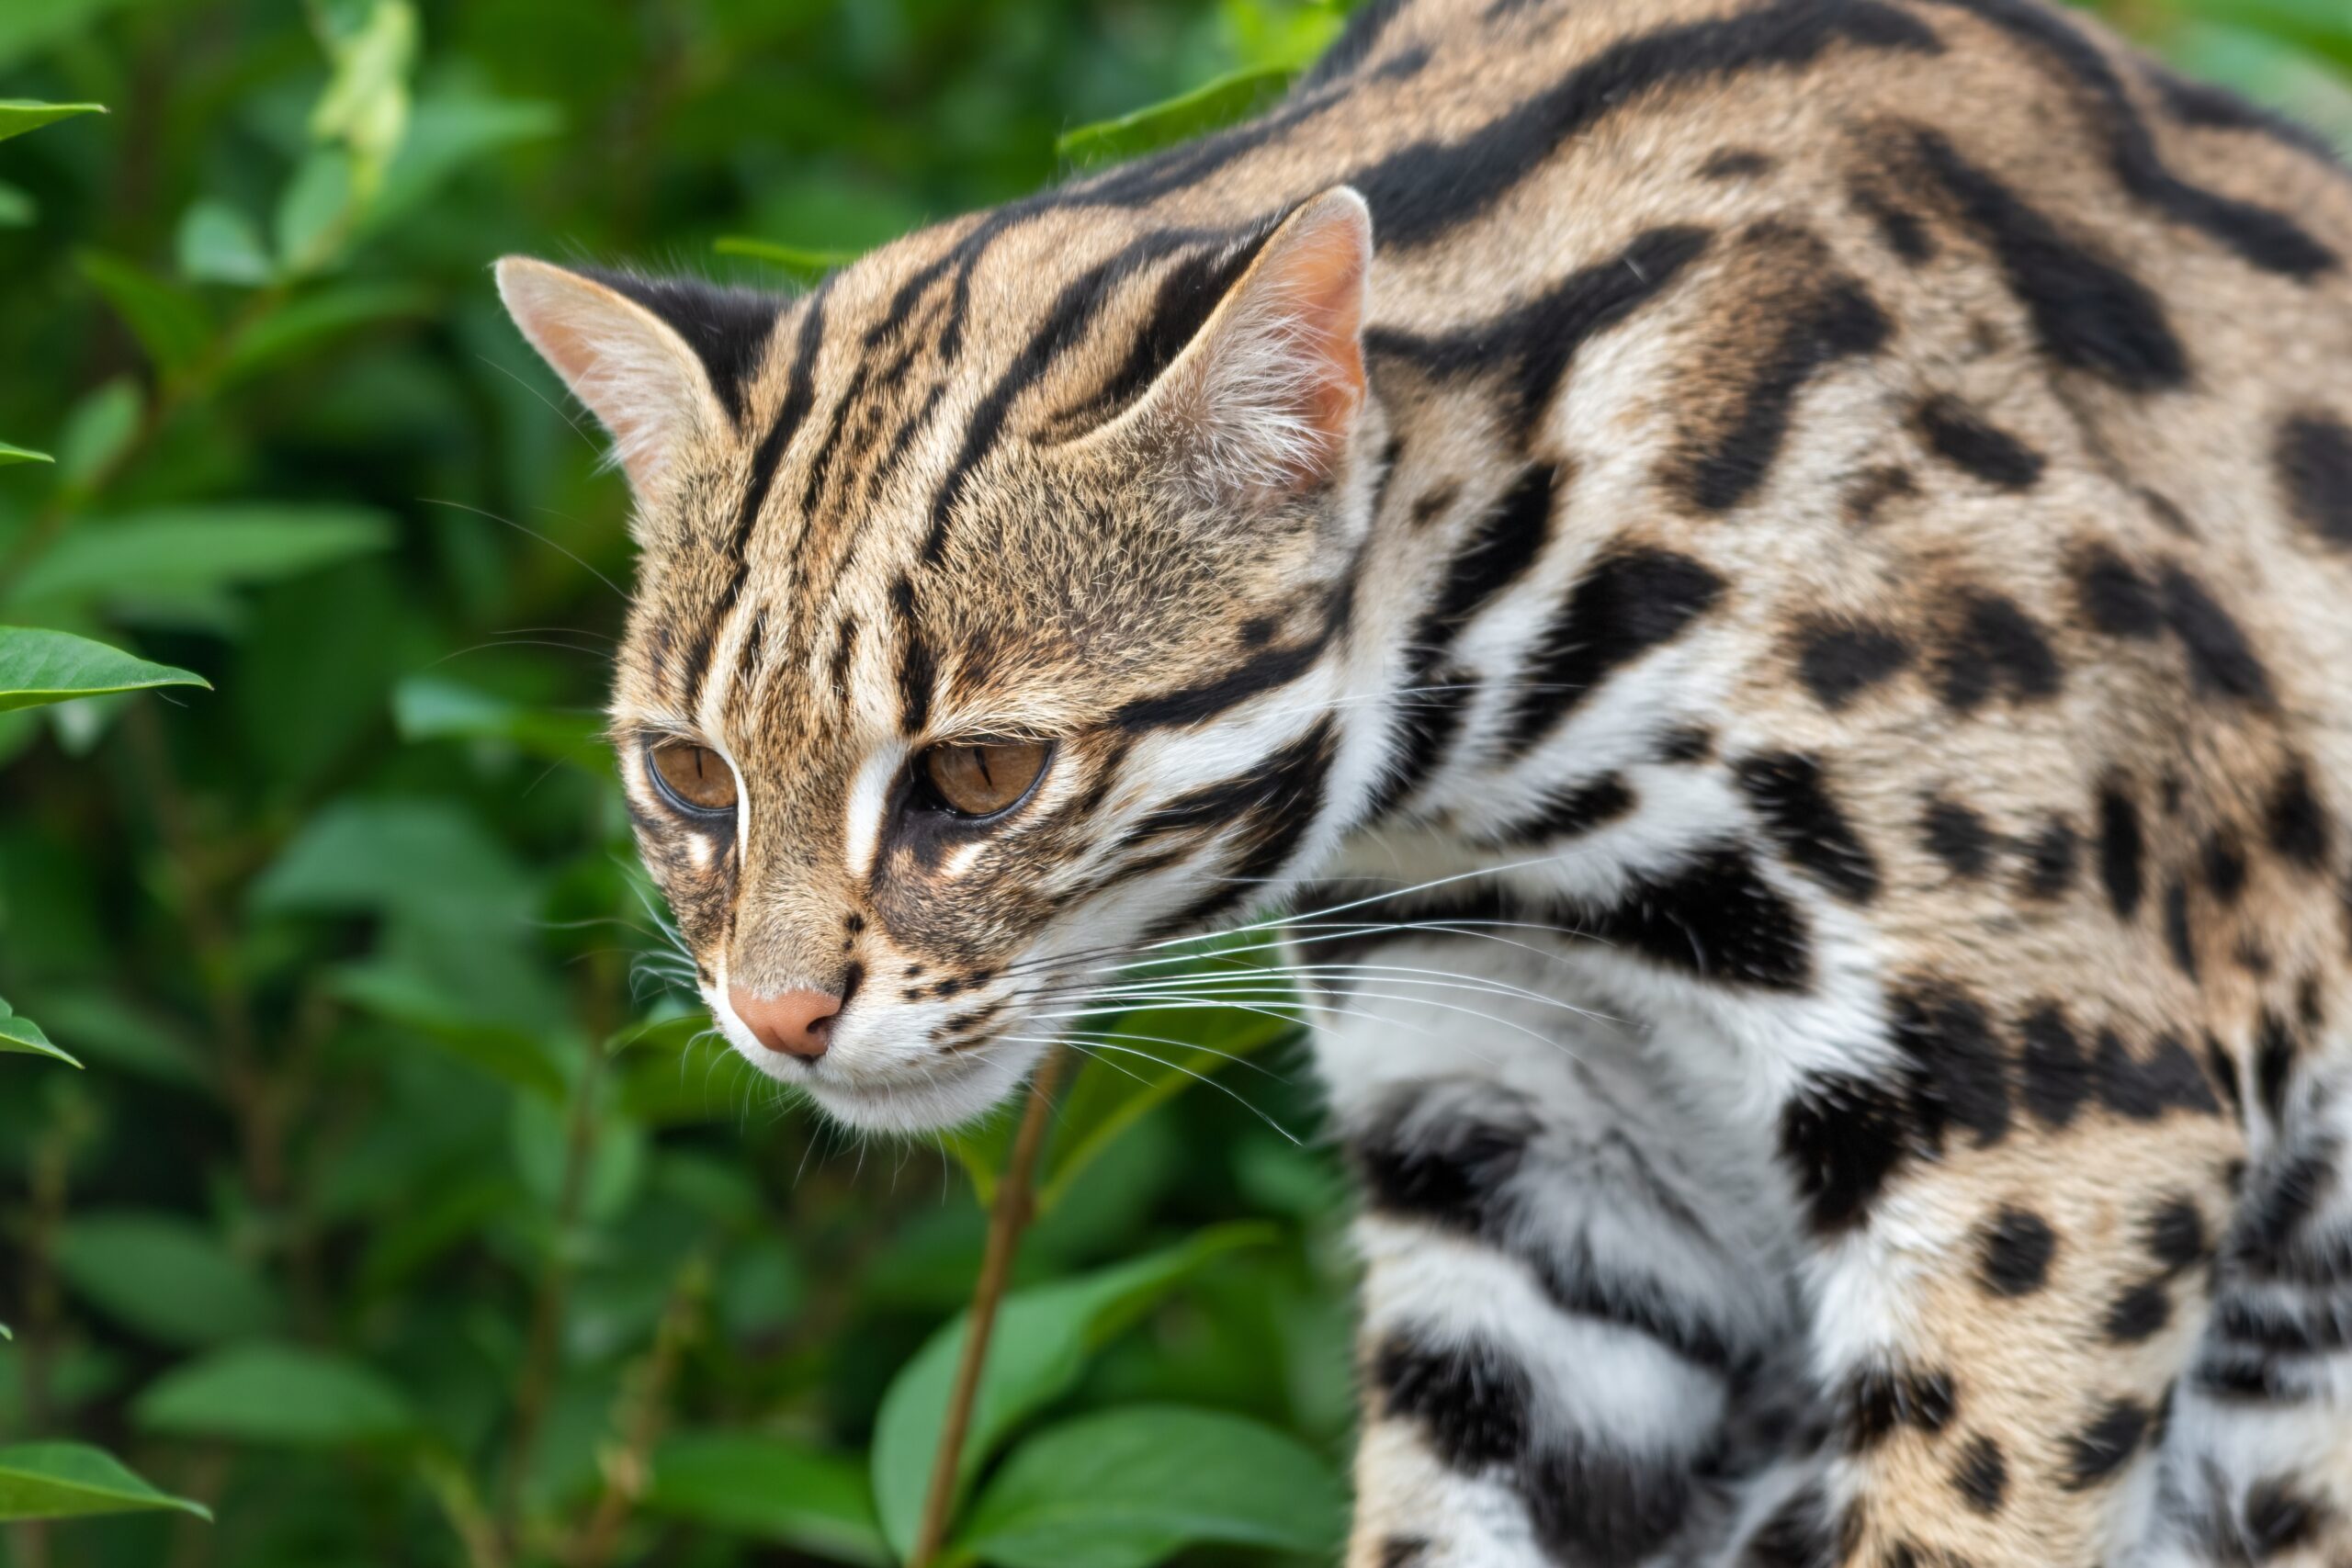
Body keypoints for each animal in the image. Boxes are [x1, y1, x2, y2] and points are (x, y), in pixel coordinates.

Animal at [496, 0, 2352, 1561]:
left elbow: (1960, 1506)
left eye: (979, 772)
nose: (776, 1018)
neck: (1497, 798)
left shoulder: (2059, 1115)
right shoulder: (1528, 1160)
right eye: (690, 775)